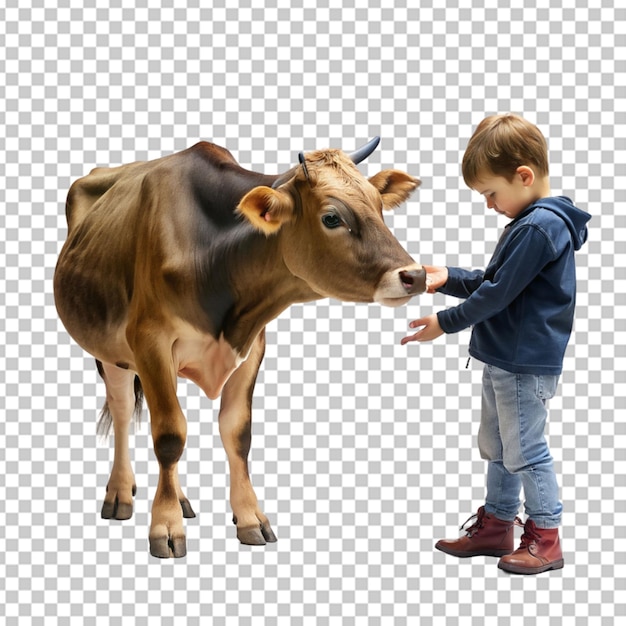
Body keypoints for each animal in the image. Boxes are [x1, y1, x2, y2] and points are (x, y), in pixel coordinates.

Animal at [53, 136, 424, 556]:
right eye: (332, 218)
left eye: (379, 207)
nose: (415, 275)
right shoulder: (150, 341)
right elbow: (169, 436)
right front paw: (165, 526)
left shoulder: (251, 345)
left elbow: (236, 434)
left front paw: (249, 518)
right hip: (109, 352)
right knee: (121, 411)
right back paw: (120, 494)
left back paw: (180, 499)